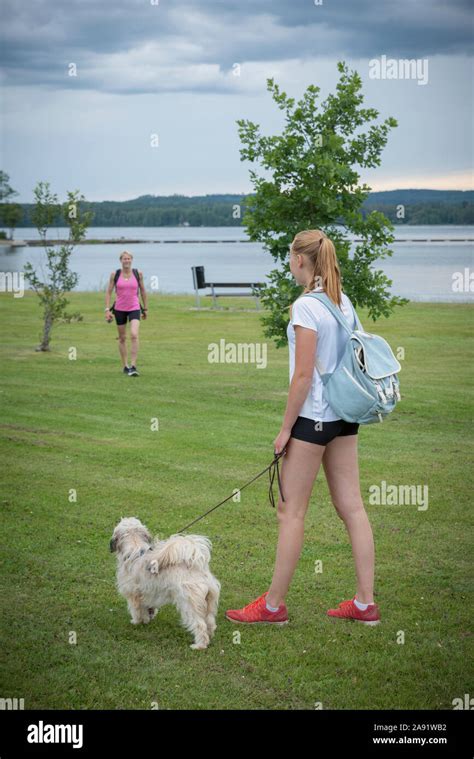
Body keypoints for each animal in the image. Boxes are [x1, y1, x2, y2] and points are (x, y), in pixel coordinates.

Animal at [110, 520, 221, 652]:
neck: (134, 551)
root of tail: (197, 568)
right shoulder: (147, 595)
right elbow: (147, 609)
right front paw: (147, 619)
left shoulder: (133, 595)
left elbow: (136, 610)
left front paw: (136, 622)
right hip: (209, 602)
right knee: (210, 622)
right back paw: (210, 637)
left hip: (189, 604)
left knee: (200, 625)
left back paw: (200, 645)